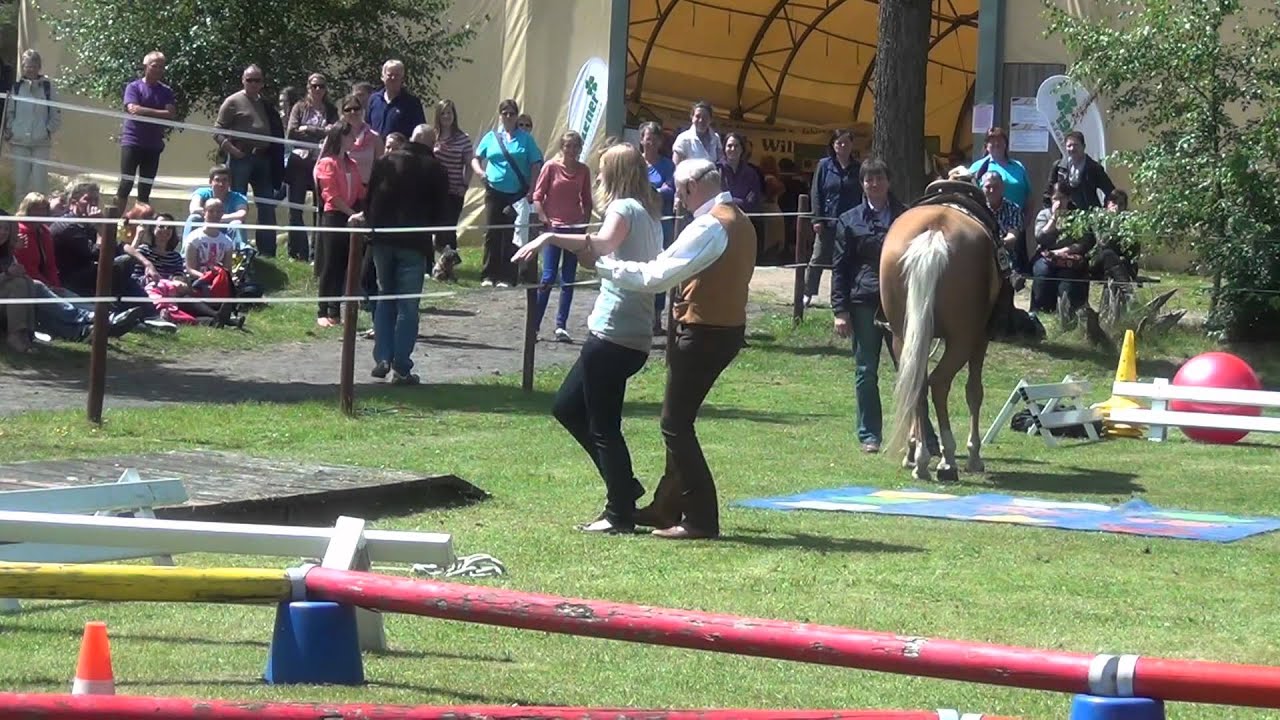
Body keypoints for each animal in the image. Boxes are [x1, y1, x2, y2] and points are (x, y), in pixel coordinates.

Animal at [879, 186, 1003, 483]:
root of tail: (934, 231)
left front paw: (911, 451)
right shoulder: (980, 340)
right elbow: (974, 392)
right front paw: (974, 454)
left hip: (902, 335)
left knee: (918, 386)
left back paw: (921, 459)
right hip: (962, 339)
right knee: (939, 383)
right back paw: (947, 460)